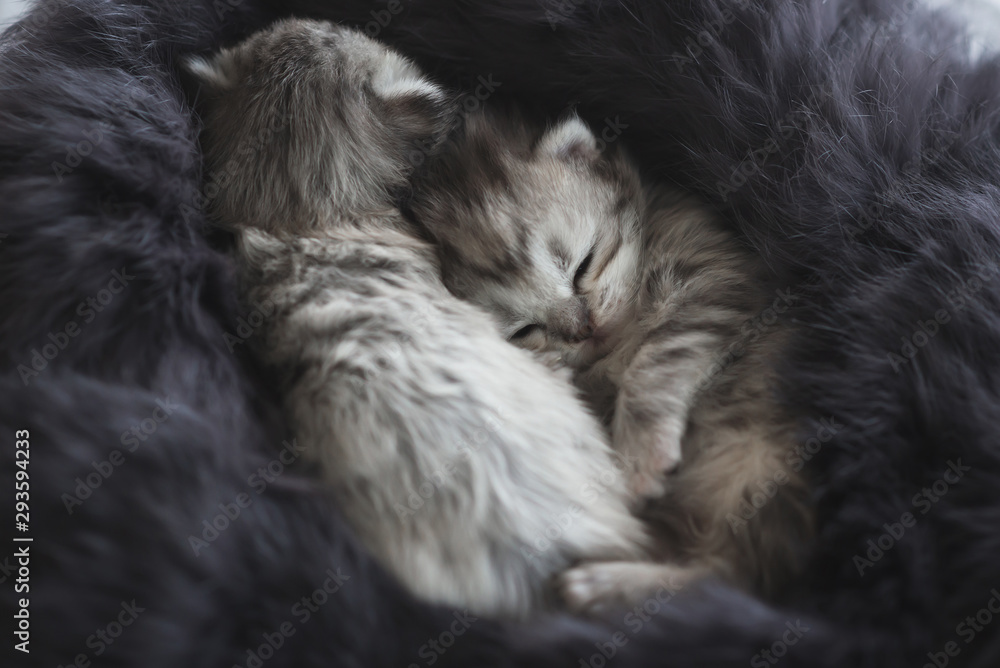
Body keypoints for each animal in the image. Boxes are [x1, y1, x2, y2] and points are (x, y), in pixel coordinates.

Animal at [412, 108, 812, 612]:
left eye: (584, 264)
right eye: (524, 330)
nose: (585, 329)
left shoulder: (715, 284)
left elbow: (657, 364)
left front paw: (642, 456)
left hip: (764, 475)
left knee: (728, 575)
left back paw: (602, 585)